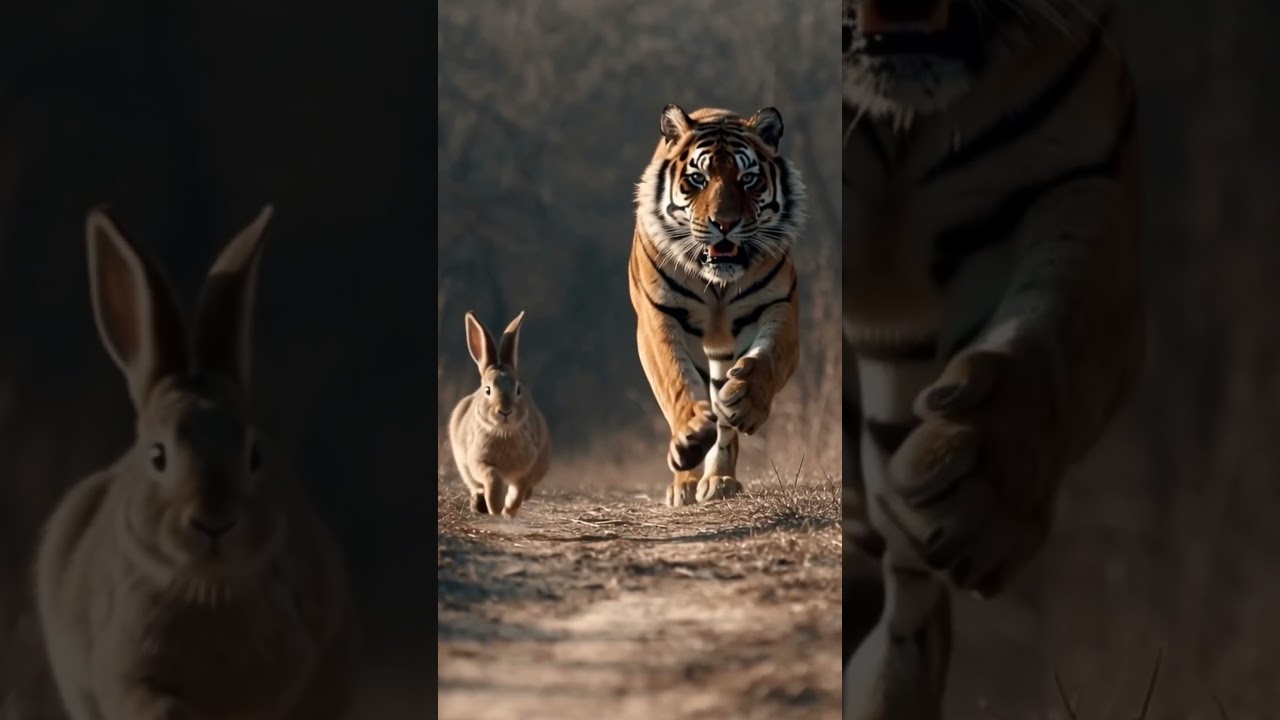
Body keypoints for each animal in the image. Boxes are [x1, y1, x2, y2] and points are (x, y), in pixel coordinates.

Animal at [33, 205, 357, 720]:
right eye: (158, 456)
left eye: (255, 455)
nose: (214, 522)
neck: (206, 588)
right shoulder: (126, 669)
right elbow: (153, 700)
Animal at [447, 311, 551, 518]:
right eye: (488, 390)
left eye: (518, 390)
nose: (505, 411)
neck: (503, 432)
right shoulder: (479, 461)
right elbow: (492, 478)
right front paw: (495, 507)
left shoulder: (526, 469)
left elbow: (518, 490)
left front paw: (508, 509)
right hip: (463, 464)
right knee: (476, 485)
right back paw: (480, 504)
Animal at [628, 104, 807, 508]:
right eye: (697, 179)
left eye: (748, 179)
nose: (724, 224)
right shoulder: (659, 318)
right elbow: (677, 378)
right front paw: (691, 437)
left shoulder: (779, 307)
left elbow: (767, 359)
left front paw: (744, 403)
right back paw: (685, 484)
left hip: (723, 355)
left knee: (723, 420)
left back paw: (719, 480)